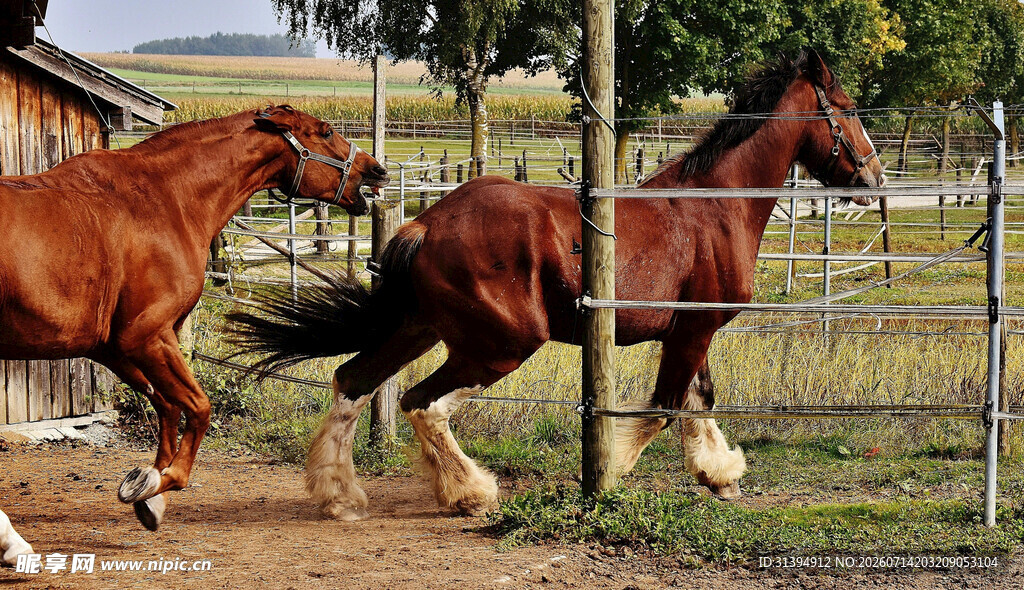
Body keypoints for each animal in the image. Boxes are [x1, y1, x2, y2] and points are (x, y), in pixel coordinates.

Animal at [0, 105, 388, 562]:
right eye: (326, 132)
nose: (376, 170)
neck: (165, 200)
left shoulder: (115, 348)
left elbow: (168, 407)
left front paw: (150, 497)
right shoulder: (146, 337)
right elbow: (198, 407)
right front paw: (156, 482)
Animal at [228, 50, 884, 521]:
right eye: (850, 109)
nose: (874, 178)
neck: (712, 207)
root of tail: (426, 222)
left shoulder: (689, 331)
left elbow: (699, 400)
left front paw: (720, 475)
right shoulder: (693, 330)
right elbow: (663, 409)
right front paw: (612, 476)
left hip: (422, 329)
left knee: (353, 381)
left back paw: (339, 497)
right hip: (502, 343)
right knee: (423, 403)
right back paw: (470, 493)